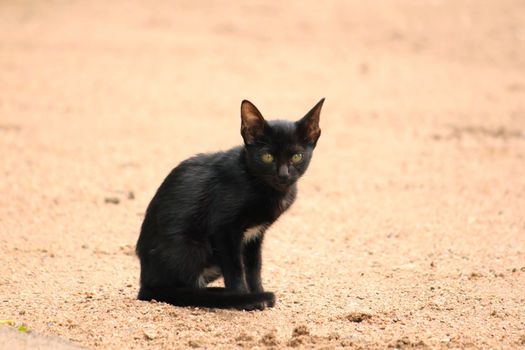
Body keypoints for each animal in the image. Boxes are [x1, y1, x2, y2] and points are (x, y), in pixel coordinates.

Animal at [135, 98, 324, 308]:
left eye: (297, 156)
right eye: (267, 156)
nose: (283, 174)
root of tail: (145, 282)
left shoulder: (255, 235)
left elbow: (254, 268)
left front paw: (257, 293)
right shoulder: (224, 230)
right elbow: (235, 269)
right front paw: (245, 300)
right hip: (191, 244)